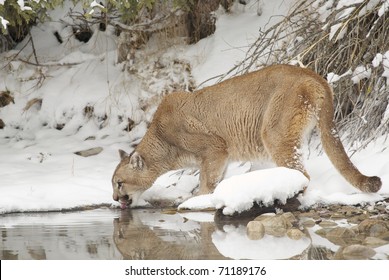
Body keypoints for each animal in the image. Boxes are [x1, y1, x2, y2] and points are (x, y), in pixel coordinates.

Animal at [110, 63, 380, 208]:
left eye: (119, 183)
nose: (114, 198)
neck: (162, 141)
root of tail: (314, 75)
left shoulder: (215, 148)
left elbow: (207, 181)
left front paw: (196, 201)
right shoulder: (222, 157)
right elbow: (215, 179)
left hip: (273, 132)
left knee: (301, 174)